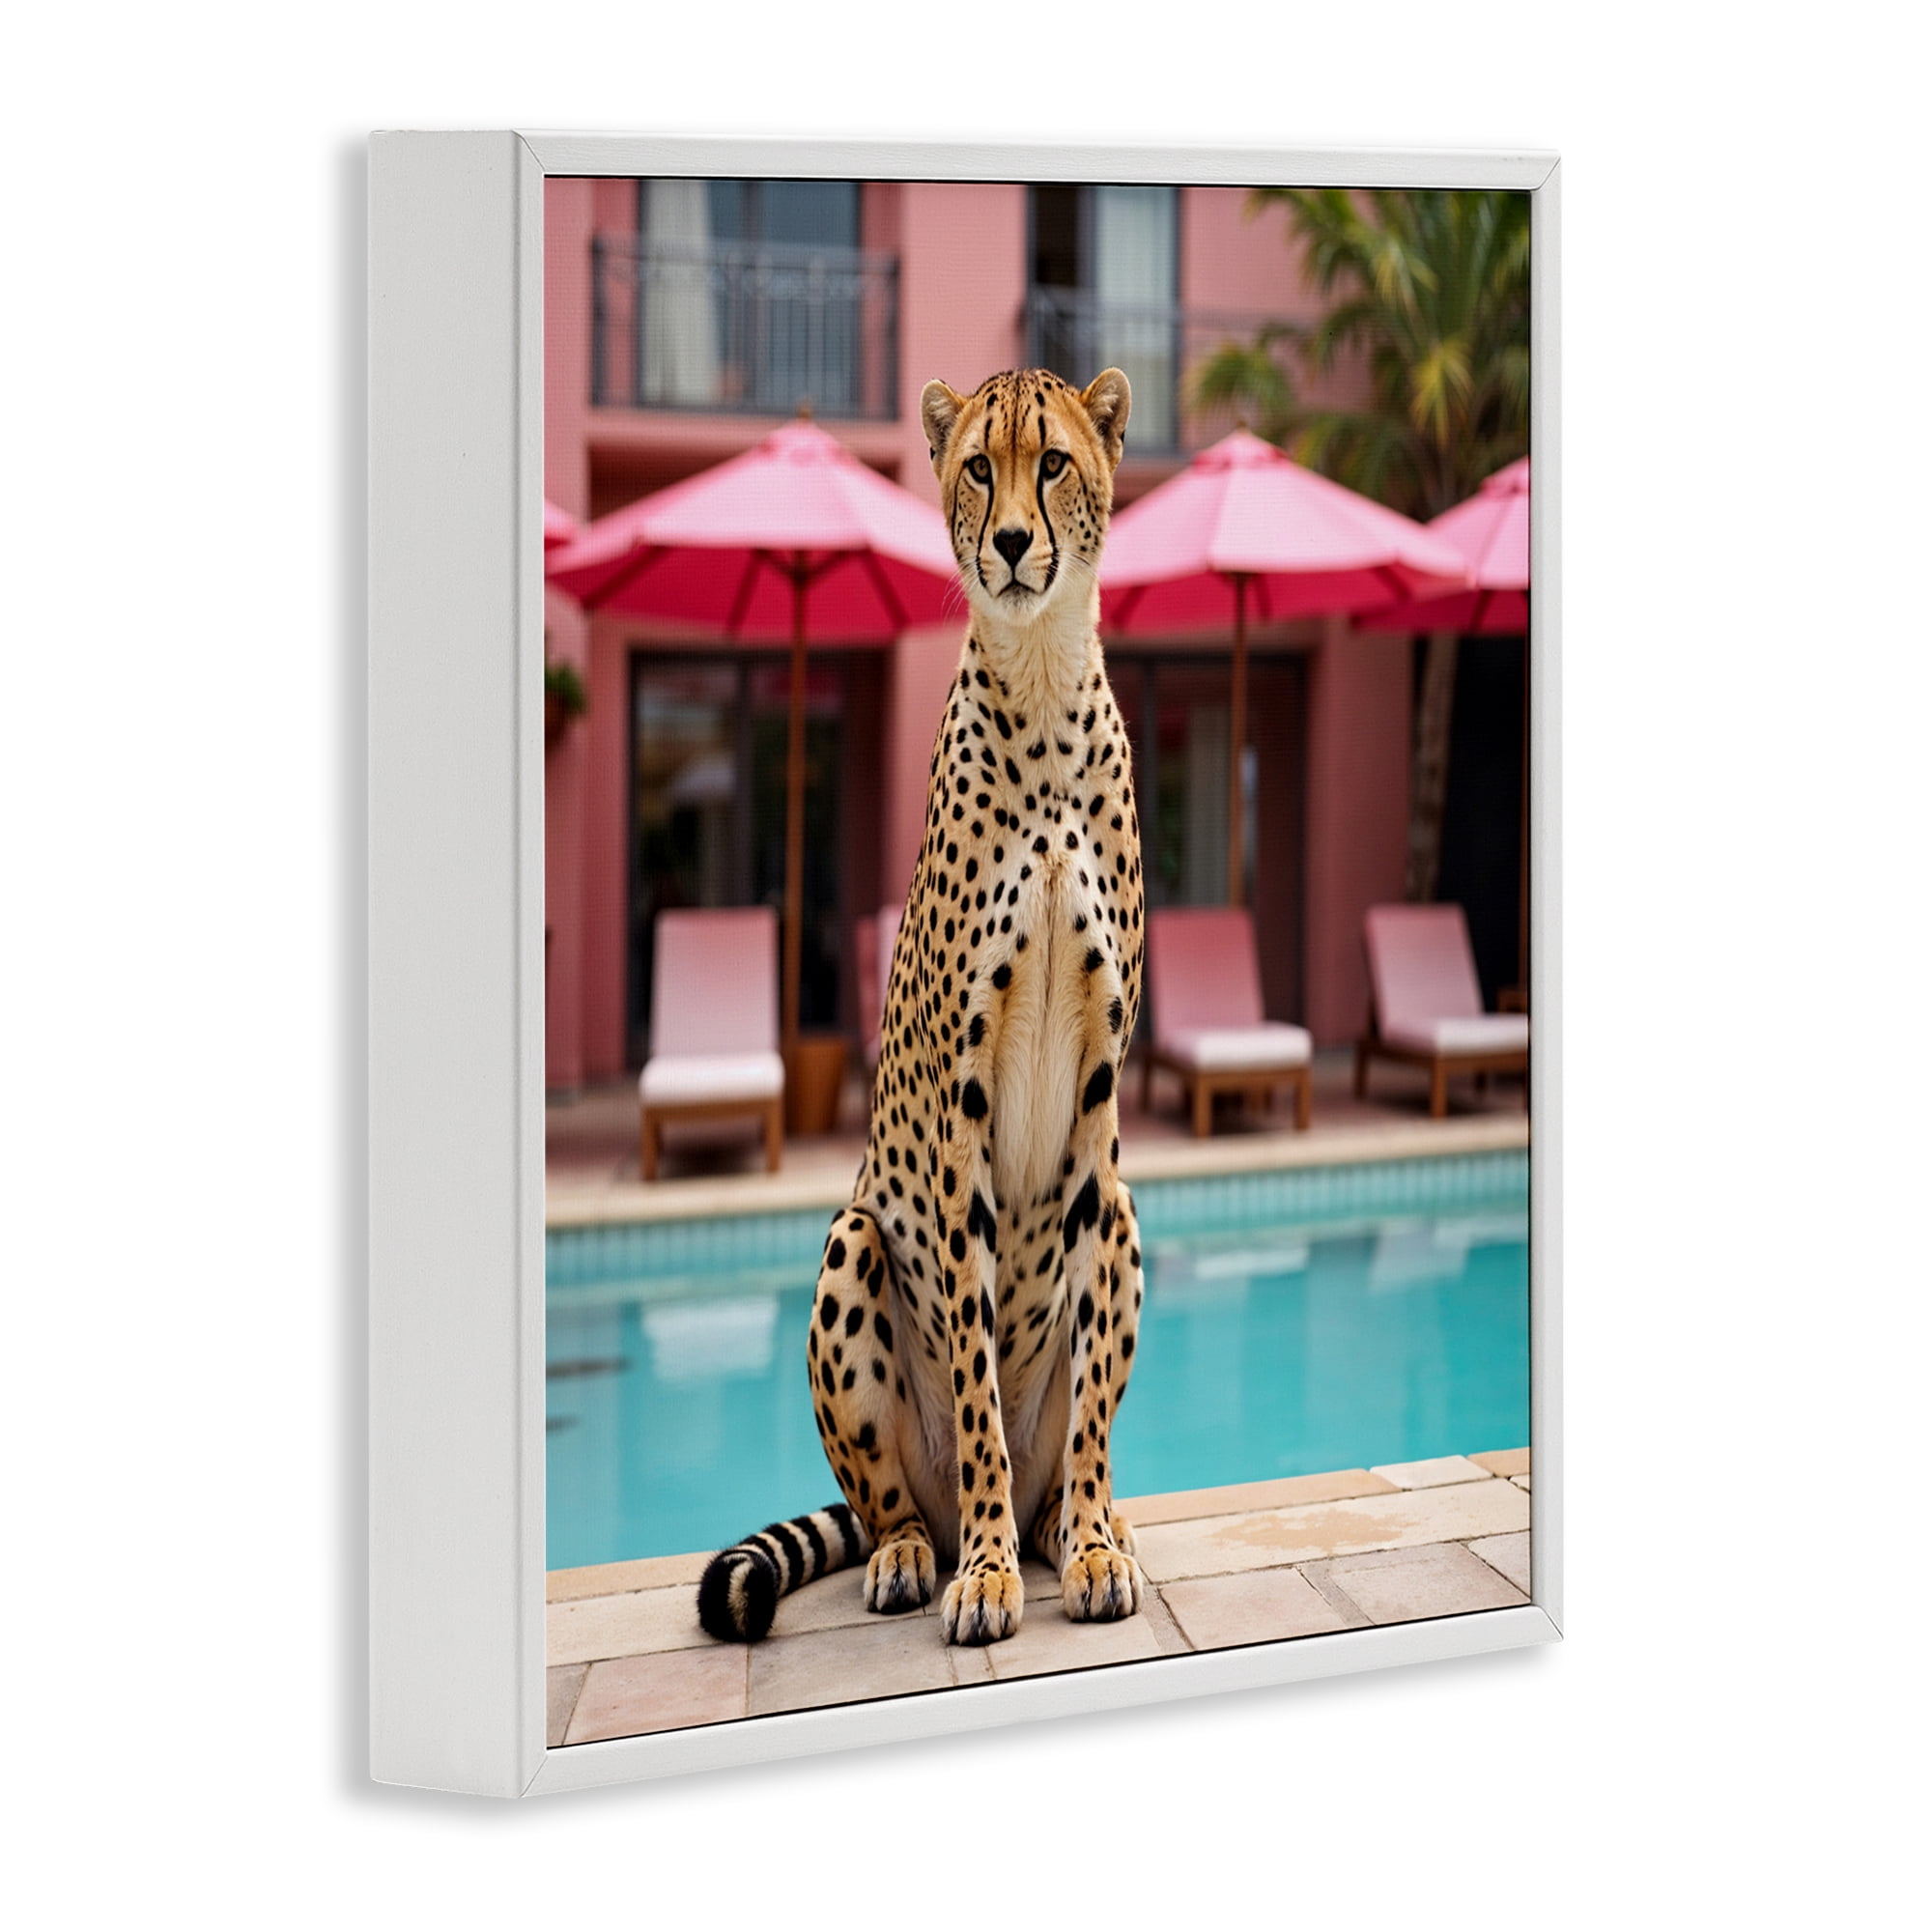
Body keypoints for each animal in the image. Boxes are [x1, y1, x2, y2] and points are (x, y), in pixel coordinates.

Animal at [697, 366, 1147, 1648]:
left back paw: (1075, 1523)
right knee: (891, 1499)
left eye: (1053, 464)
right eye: (977, 469)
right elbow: (976, 1378)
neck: (1041, 684)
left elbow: (1085, 1396)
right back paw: (923, 1550)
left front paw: (1088, 1545)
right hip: (851, 1240)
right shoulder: (961, 1097)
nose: (1011, 544)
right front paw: (987, 1574)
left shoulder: (1099, 1098)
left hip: (1130, 1216)